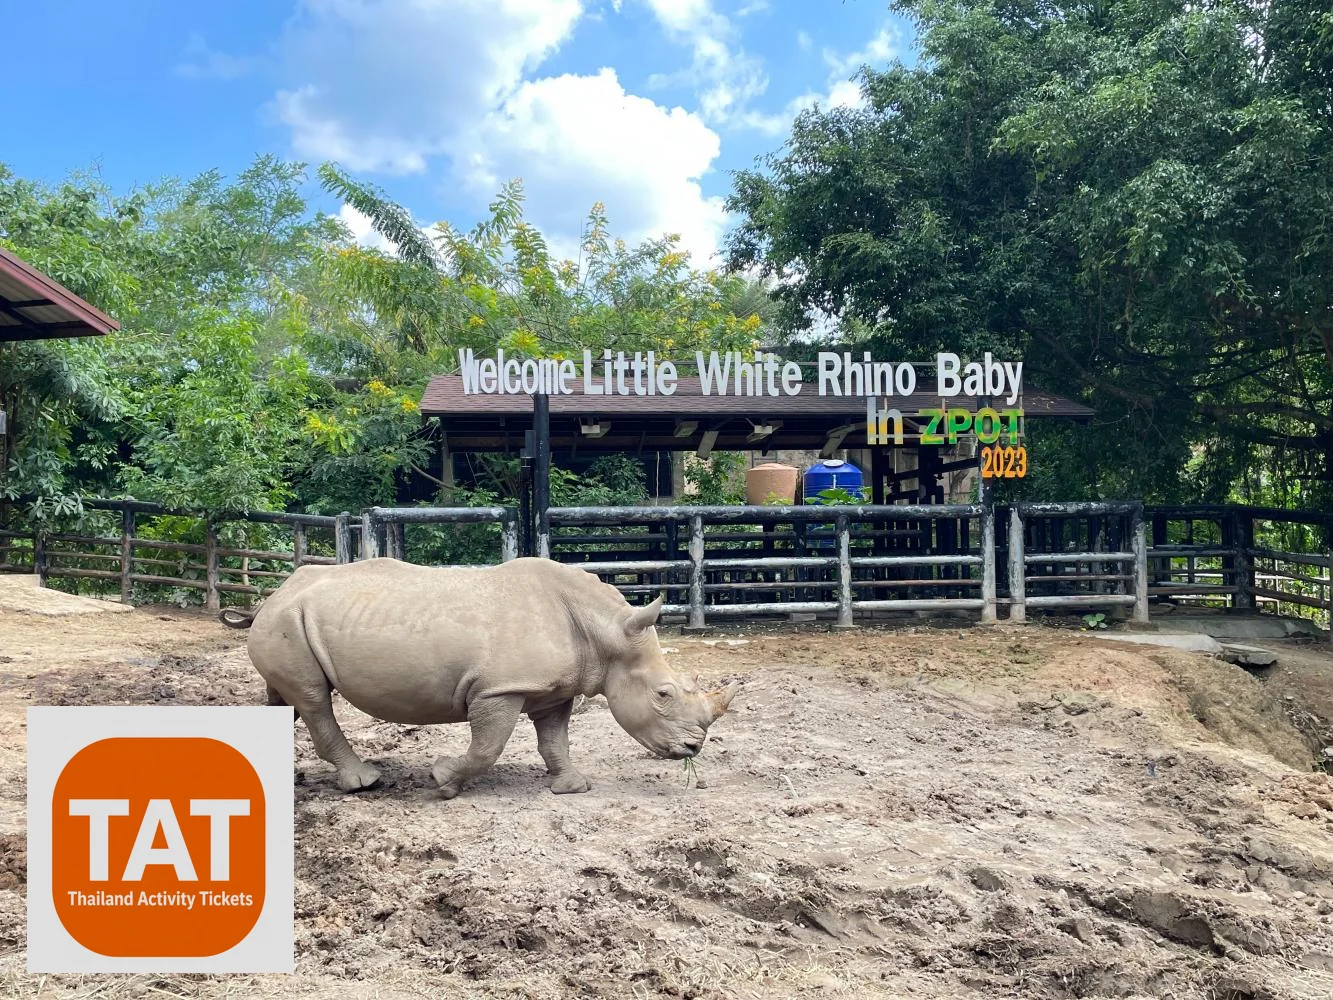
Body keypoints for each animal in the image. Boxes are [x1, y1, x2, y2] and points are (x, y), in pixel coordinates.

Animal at [220, 556, 739, 798]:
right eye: (663, 693)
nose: (693, 749)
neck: (605, 629)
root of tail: (271, 596)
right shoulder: (499, 688)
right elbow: (488, 747)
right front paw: (442, 780)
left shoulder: (552, 688)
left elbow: (555, 738)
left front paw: (572, 787)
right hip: (288, 622)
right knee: (313, 699)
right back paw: (364, 782)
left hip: (289, 621)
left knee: (287, 700)